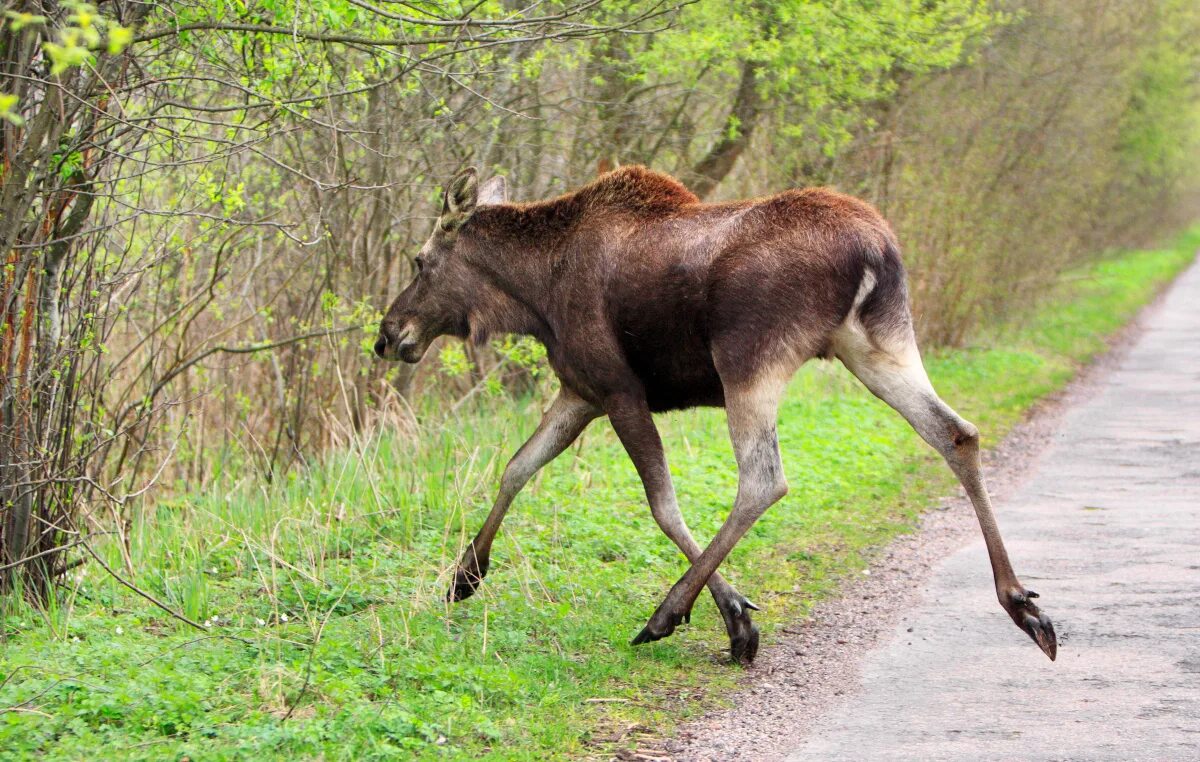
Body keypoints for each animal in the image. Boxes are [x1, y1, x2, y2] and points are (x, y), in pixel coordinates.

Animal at [372, 164, 1051, 667]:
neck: (532, 298)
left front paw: (732, 617)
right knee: (956, 434)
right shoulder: (579, 392)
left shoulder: (618, 390)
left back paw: (665, 611)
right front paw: (466, 574)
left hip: (749, 360)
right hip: (877, 344)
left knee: (763, 480)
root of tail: (874, 249)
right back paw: (1023, 604)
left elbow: (661, 504)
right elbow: (517, 467)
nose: (387, 335)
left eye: (419, 260)